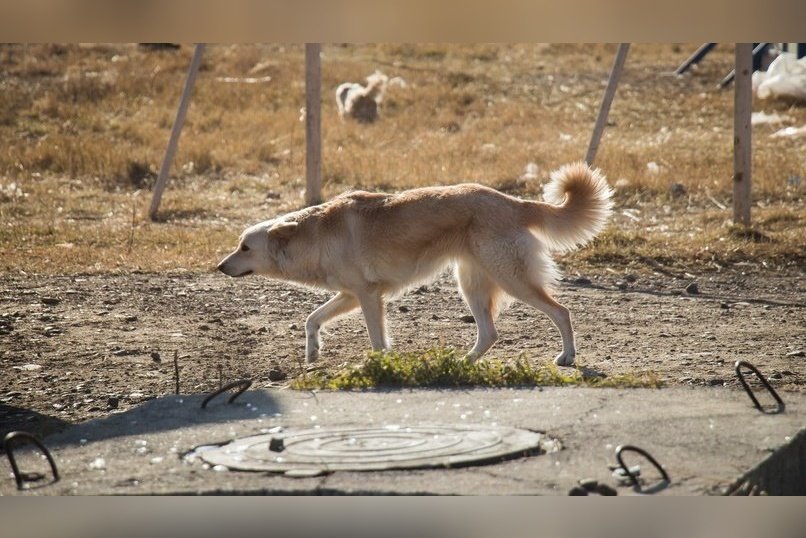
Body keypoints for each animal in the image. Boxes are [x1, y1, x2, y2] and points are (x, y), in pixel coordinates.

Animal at [218, 161, 616, 366]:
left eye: (245, 247)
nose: (220, 267)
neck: (314, 235)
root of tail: (514, 202)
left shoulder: (368, 297)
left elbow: (376, 338)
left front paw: (378, 365)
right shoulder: (351, 295)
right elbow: (312, 319)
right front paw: (313, 351)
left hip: (512, 279)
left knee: (561, 311)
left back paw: (567, 356)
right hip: (472, 285)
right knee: (489, 333)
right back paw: (461, 363)